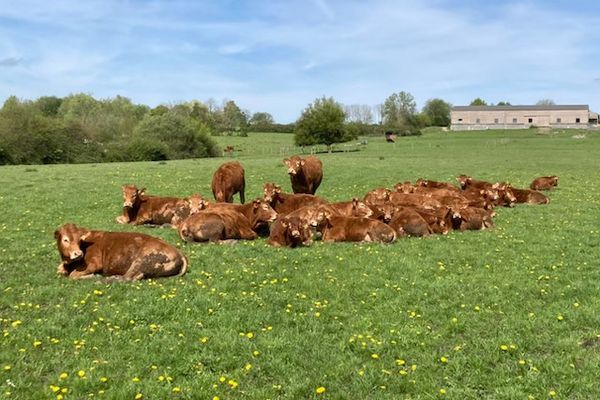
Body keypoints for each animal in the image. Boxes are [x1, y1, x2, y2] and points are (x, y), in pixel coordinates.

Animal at [56, 222, 189, 282]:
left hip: (141, 261)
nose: (78, 253)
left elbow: (73, 275)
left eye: (80, 239)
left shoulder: (94, 264)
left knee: (128, 278)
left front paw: (93, 276)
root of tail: (179, 253)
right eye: (65, 239)